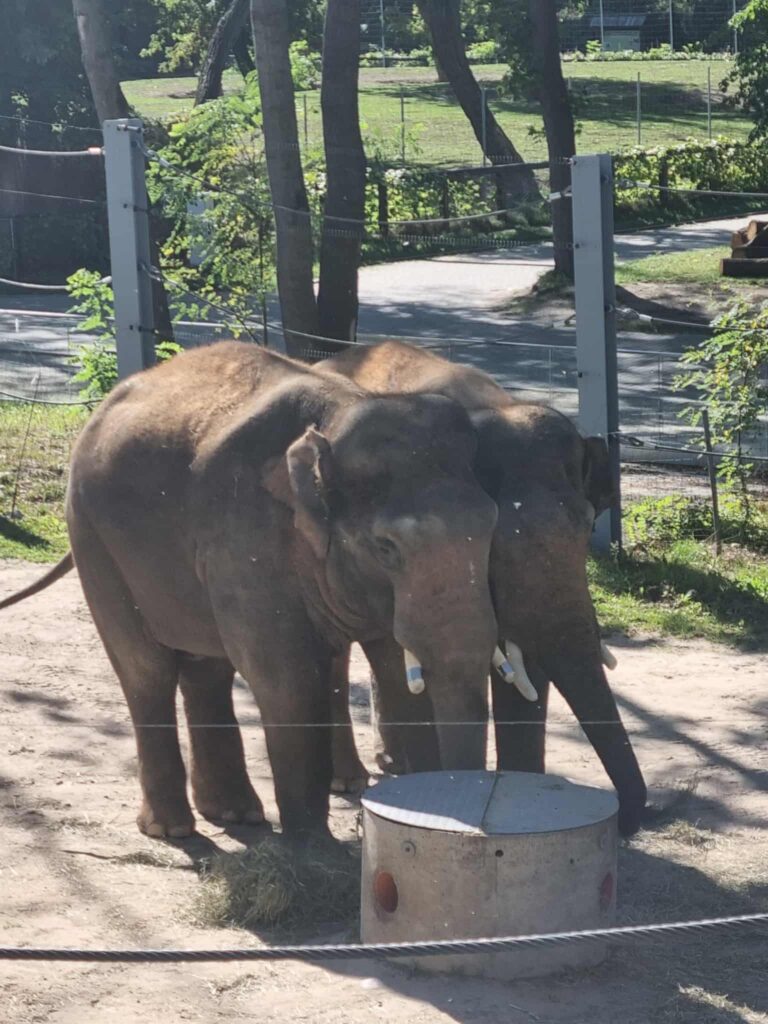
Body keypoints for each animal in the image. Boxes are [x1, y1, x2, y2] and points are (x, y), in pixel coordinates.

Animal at [0, 342, 500, 838]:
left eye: (491, 530)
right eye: (386, 547)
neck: (340, 415)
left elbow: (397, 666)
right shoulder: (245, 536)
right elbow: (286, 676)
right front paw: (313, 849)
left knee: (207, 668)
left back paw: (233, 813)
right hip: (94, 539)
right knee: (145, 669)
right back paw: (171, 829)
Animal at [322, 340, 647, 837]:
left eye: (589, 527)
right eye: (492, 547)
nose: (626, 820)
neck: (496, 404)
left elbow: (526, 669)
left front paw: (525, 786)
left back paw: (391, 763)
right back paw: (351, 779)